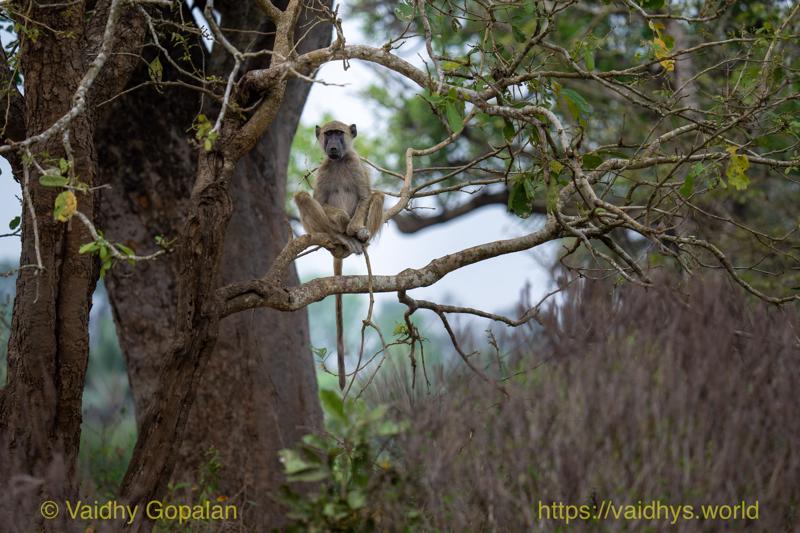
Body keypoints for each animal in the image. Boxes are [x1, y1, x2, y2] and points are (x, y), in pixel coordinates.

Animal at [294, 120, 384, 390]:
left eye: (339, 134)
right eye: (328, 134)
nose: (333, 145)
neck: (339, 162)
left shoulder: (355, 165)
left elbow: (366, 197)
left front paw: (355, 228)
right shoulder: (324, 170)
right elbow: (320, 201)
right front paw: (344, 223)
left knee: (378, 195)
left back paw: (359, 238)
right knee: (302, 197)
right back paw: (339, 237)